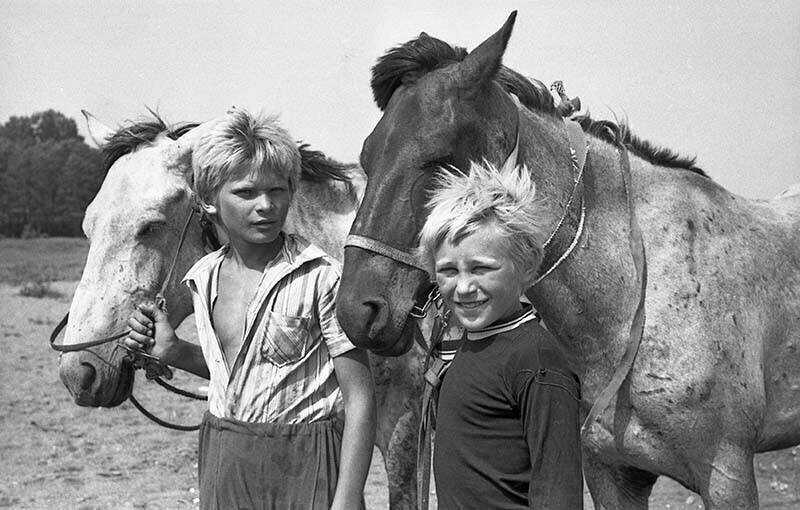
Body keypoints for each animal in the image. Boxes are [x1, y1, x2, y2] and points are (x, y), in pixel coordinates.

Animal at [336, 10, 800, 506]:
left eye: (440, 158)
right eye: (367, 157)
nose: (357, 311)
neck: (637, 299)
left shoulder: (727, 475)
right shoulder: (610, 473)